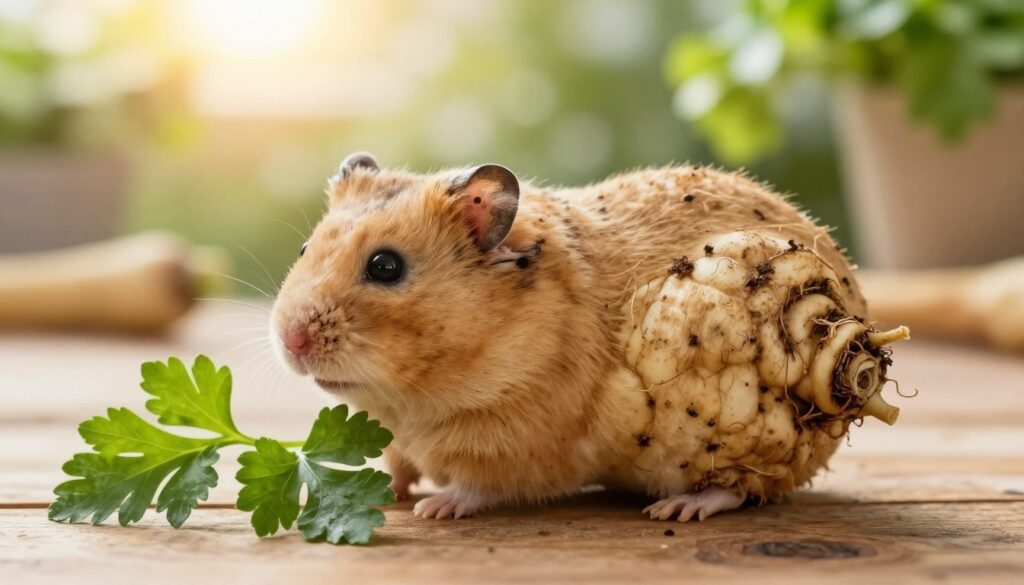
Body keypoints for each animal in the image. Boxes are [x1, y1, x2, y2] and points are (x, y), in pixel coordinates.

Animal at [271, 152, 908, 521]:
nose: (290, 341)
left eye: (386, 267)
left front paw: (436, 509)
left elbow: (479, 486)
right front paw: (389, 489)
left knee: (746, 488)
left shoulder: (513, 442)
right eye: (302, 249)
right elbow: (396, 462)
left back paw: (675, 510)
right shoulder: (399, 436)